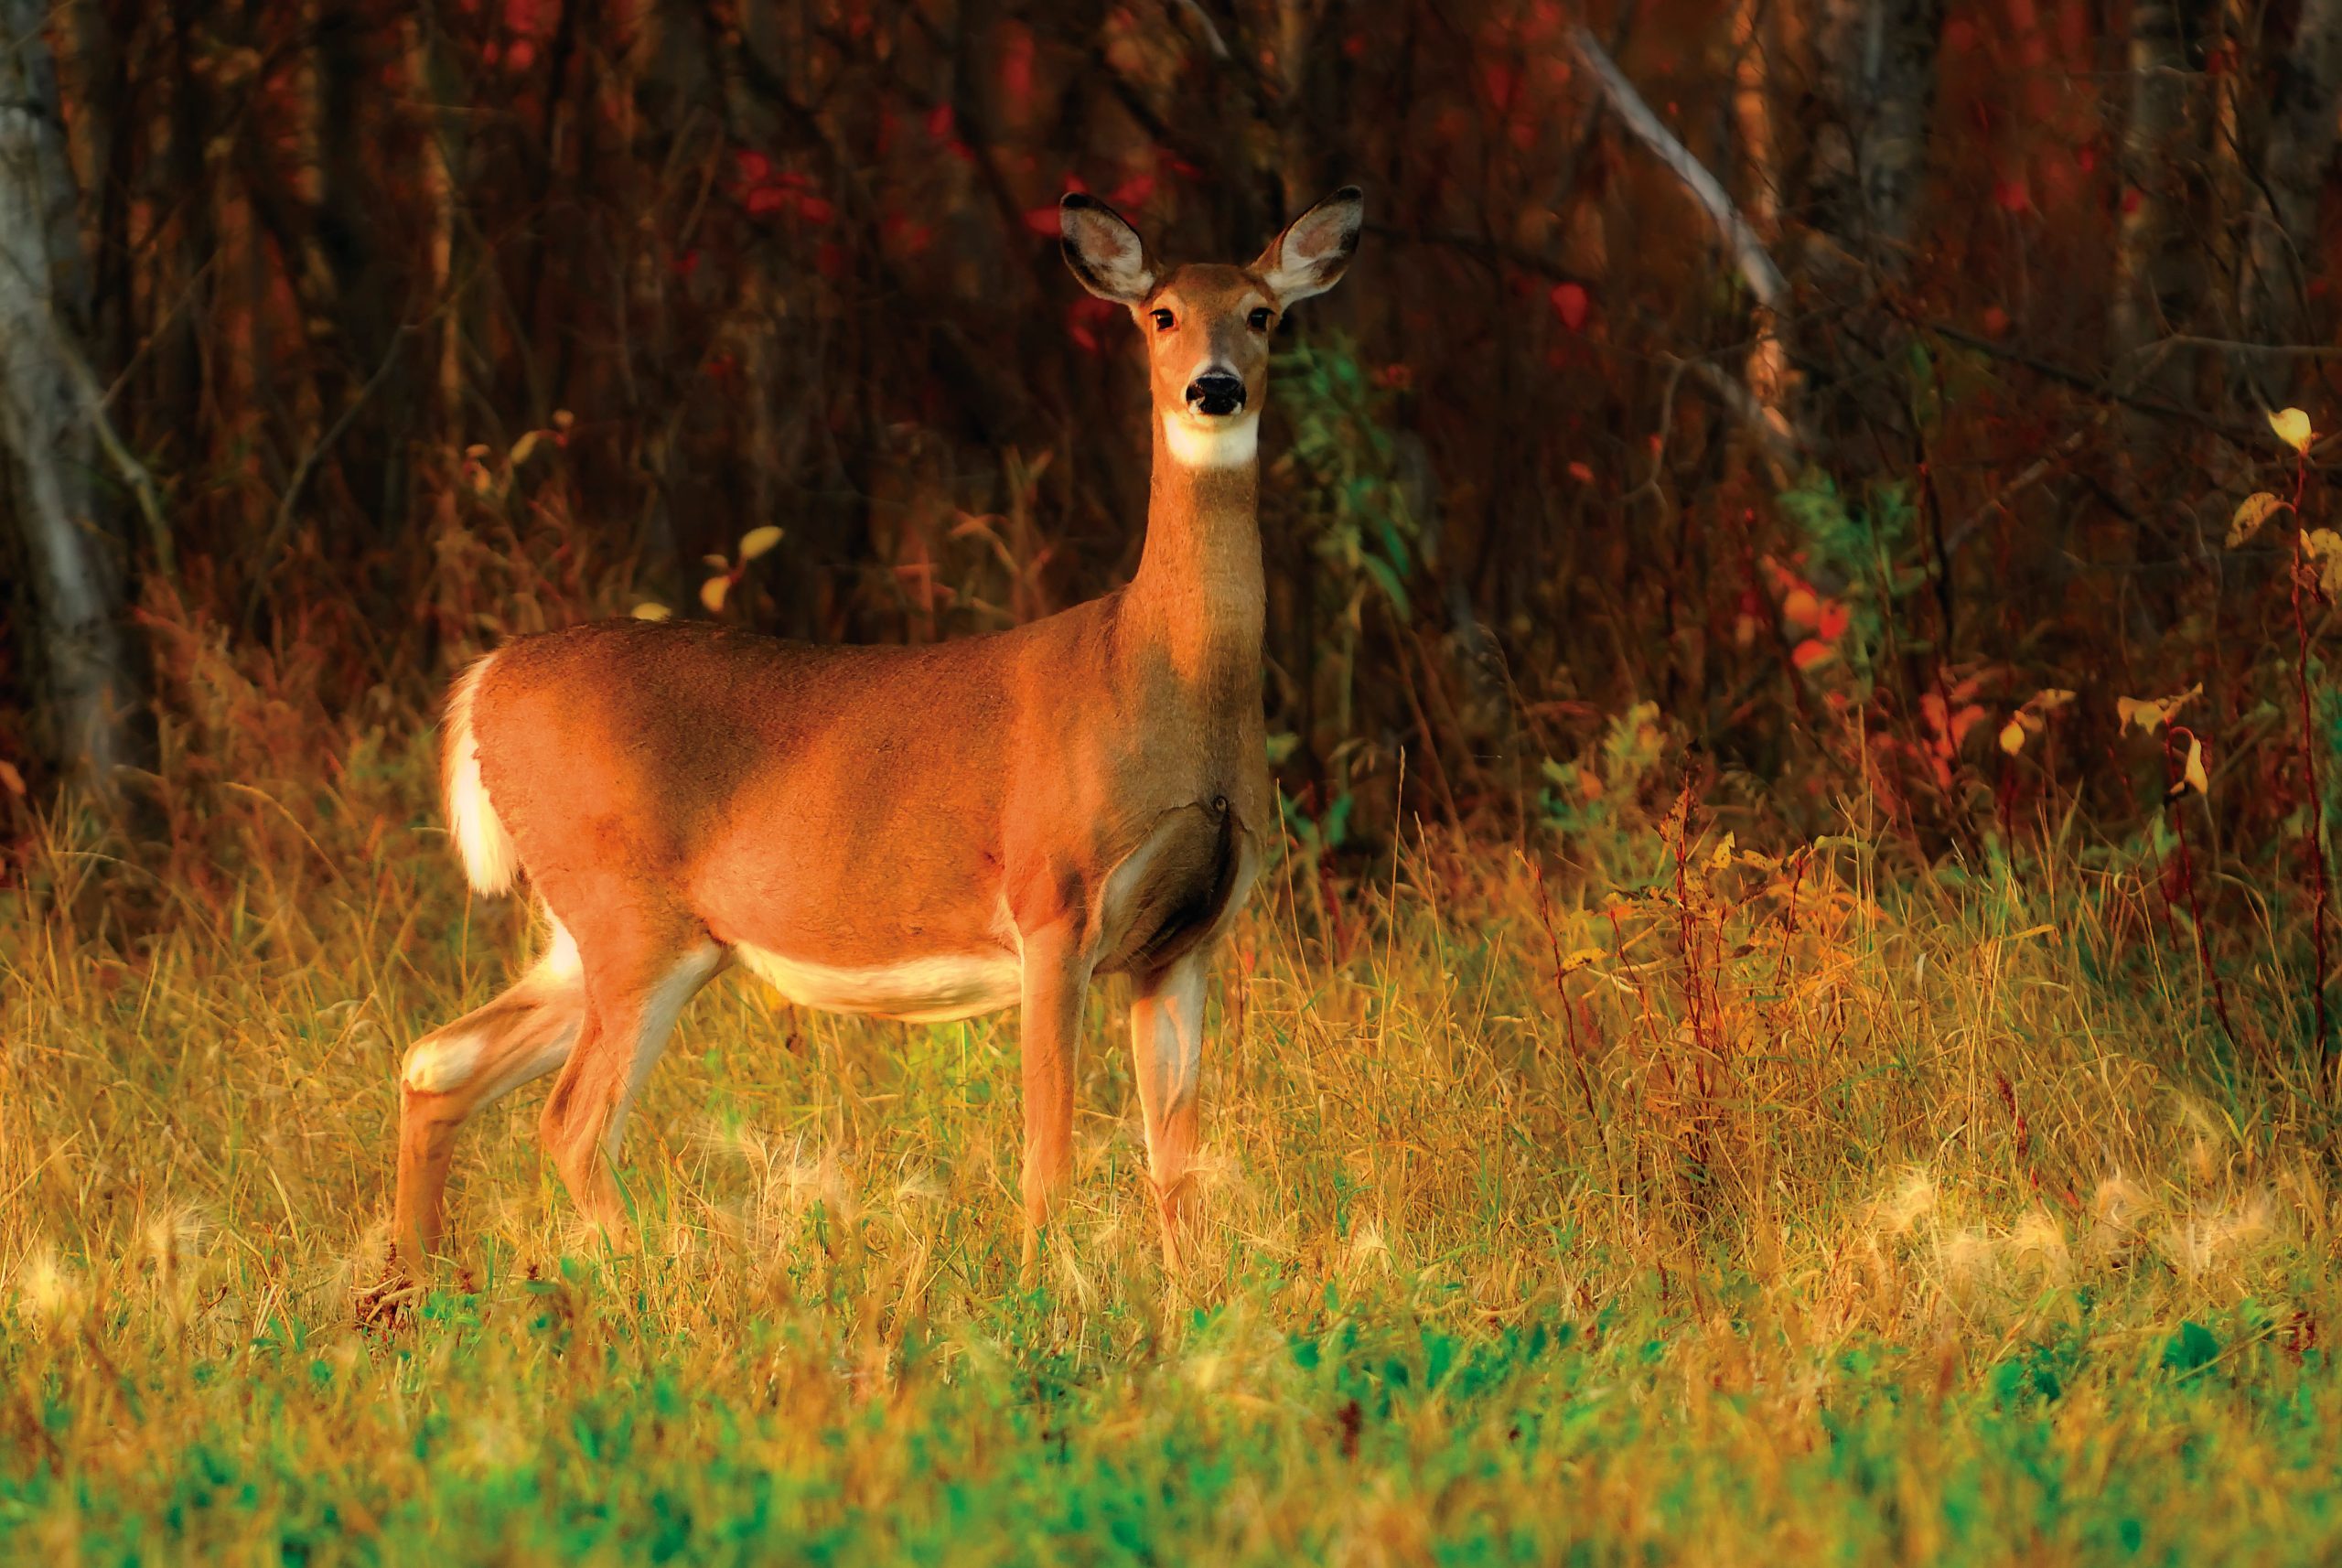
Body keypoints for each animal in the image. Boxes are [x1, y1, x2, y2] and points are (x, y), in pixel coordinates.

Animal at [390, 185, 1365, 1275]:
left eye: (1262, 315)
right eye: (1160, 315)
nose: (1213, 388)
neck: (1163, 680)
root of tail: (485, 681)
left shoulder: (1185, 941)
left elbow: (1177, 1168)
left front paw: (1186, 1295)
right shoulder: (1052, 897)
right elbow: (1049, 1147)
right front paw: (1049, 1287)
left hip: (594, 929)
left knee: (439, 1059)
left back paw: (409, 1288)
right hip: (628, 913)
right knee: (568, 1121)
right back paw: (667, 1270)